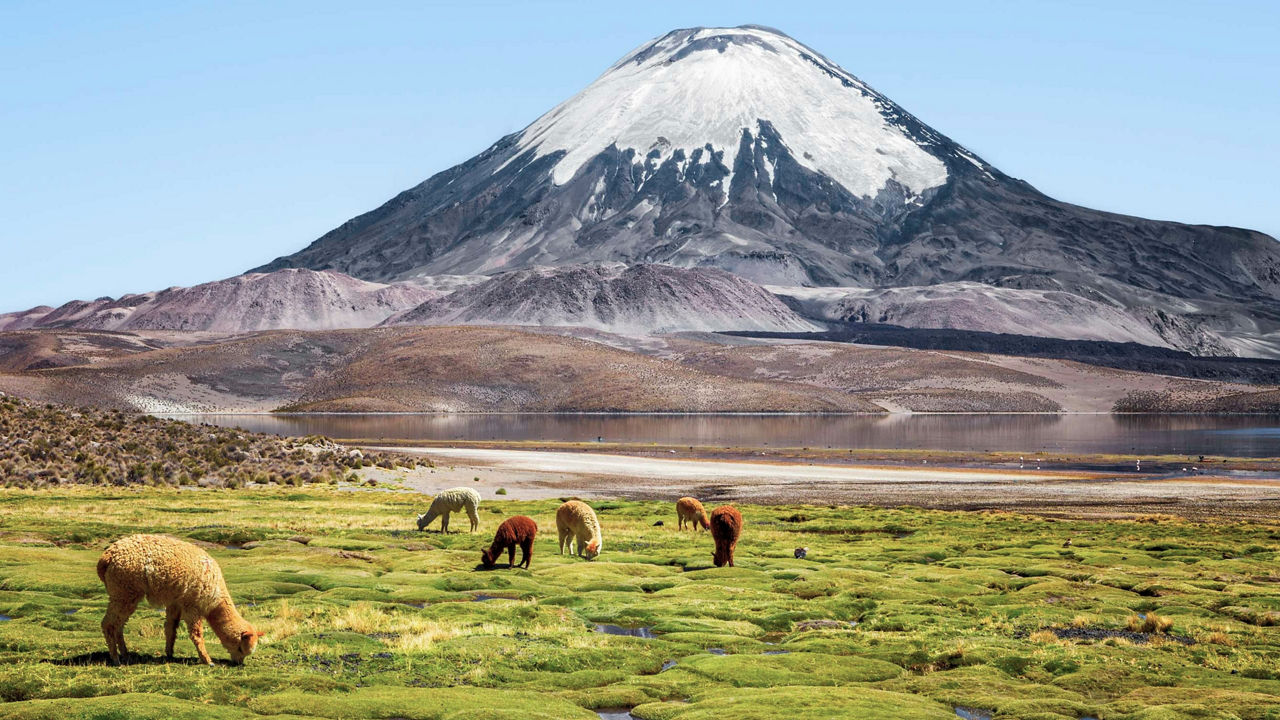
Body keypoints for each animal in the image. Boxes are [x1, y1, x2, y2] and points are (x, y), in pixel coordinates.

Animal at [96, 534, 262, 665]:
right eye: (240, 648)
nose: (238, 663)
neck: (214, 598)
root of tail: (107, 556)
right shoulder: (192, 604)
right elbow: (196, 634)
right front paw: (207, 660)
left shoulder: (175, 602)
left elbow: (171, 628)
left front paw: (169, 653)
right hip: (124, 591)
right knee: (108, 624)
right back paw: (116, 659)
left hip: (125, 594)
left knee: (119, 625)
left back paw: (125, 654)